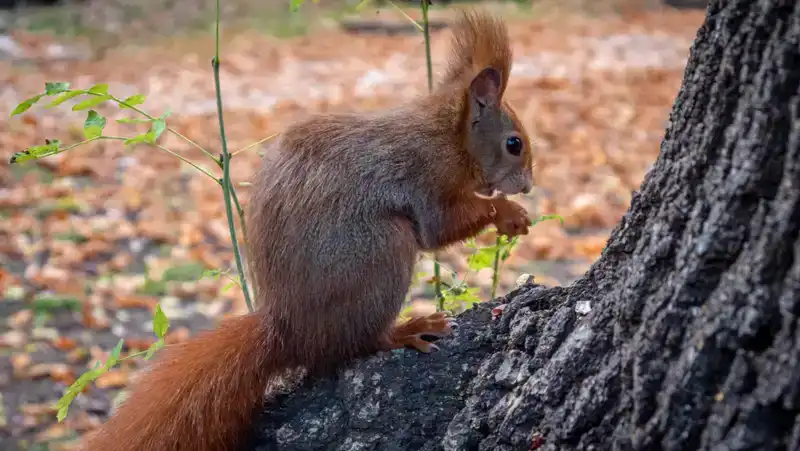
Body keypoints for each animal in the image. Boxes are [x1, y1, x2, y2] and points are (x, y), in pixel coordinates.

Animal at [84, 9, 536, 451]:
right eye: (514, 144)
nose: (530, 185)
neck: (450, 134)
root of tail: (289, 331)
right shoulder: (426, 176)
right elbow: (439, 228)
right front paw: (508, 211)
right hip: (380, 251)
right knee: (359, 343)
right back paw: (406, 330)